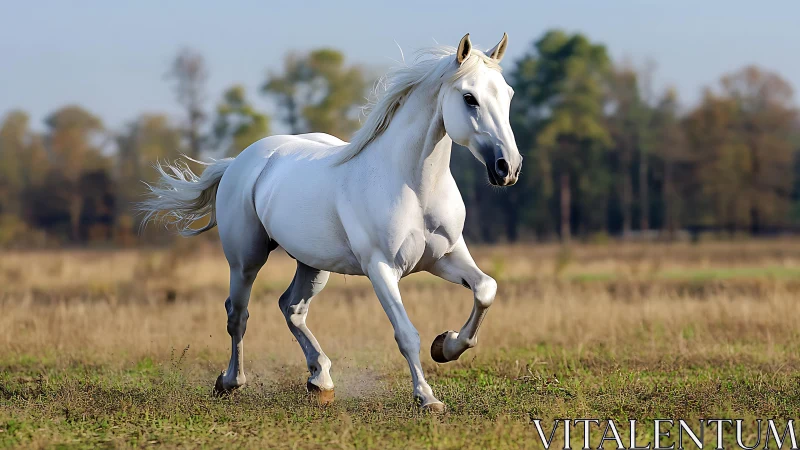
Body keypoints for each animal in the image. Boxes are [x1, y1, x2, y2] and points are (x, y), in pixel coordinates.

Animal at [140, 33, 521, 412]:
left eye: (508, 94)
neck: (413, 185)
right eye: (469, 98)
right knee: (239, 314)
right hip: (245, 260)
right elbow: (406, 333)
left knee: (292, 308)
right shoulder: (381, 268)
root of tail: (239, 162)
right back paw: (231, 381)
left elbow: (486, 289)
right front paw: (427, 397)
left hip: (313, 264)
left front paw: (445, 345)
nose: (508, 167)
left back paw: (320, 380)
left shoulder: (445, 257)